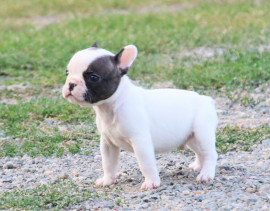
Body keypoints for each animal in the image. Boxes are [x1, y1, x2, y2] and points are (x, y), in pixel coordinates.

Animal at [62, 41, 218, 190]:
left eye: (93, 77)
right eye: (67, 72)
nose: (71, 83)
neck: (112, 105)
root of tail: (206, 99)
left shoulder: (140, 142)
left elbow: (146, 164)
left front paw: (151, 182)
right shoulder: (107, 143)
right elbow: (108, 163)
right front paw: (107, 180)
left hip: (202, 133)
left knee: (210, 153)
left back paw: (206, 174)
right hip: (191, 137)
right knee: (200, 152)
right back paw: (197, 166)